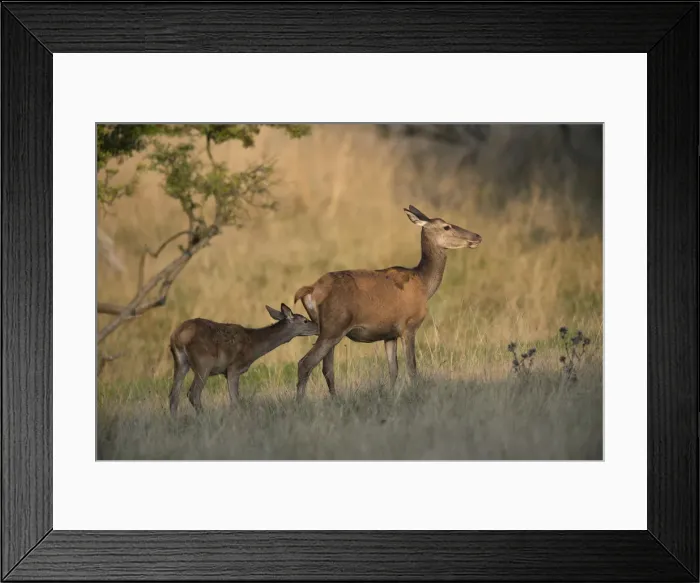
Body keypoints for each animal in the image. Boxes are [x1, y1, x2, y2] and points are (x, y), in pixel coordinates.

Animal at [168, 303, 317, 415]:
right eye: (305, 320)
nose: (318, 326)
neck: (253, 346)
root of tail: (178, 336)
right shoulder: (234, 368)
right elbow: (235, 400)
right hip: (203, 362)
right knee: (193, 393)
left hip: (180, 362)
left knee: (173, 395)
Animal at [292, 204, 482, 401]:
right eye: (446, 226)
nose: (477, 236)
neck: (423, 284)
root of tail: (311, 290)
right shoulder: (409, 326)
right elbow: (412, 369)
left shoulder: (389, 334)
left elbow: (393, 370)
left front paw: (391, 395)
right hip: (334, 326)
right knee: (305, 363)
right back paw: (301, 402)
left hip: (326, 329)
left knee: (327, 369)